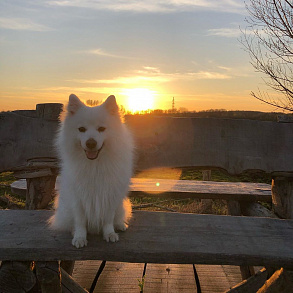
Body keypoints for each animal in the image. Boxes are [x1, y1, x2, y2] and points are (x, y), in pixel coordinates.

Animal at [49, 93, 133, 246]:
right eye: (81, 129)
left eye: (101, 129)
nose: (91, 143)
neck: (94, 165)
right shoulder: (78, 198)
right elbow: (80, 221)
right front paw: (79, 237)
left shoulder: (110, 196)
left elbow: (108, 219)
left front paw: (109, 233)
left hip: (120, 205)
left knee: (118, 216)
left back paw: (120, 225)